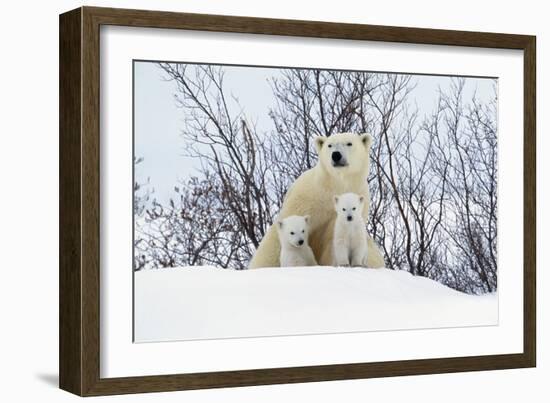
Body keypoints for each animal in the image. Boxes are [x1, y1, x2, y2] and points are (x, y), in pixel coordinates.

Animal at [249, 133, 384, 270]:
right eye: (329, 145)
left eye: (349, 143)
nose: (336, 155)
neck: (335, 185)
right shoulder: (306, 198)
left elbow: (334, 239)